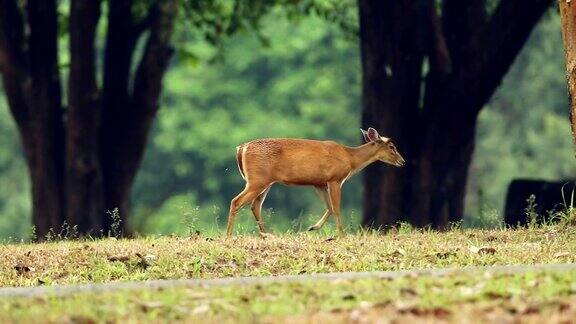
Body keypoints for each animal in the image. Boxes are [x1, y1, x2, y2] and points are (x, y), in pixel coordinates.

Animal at [225, 127, 404, 238]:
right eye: (392, 147)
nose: (402, 161)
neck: (350, 159)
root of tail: (241, 148)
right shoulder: (335, 179)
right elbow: (336, 208)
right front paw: (341, 235)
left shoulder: (319, 183)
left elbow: (329, 207)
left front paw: (313, 227)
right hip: (257, 180)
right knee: (236, 201)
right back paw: (229, 235)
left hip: (264, 182)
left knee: (255, 205)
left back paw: (266, 234)